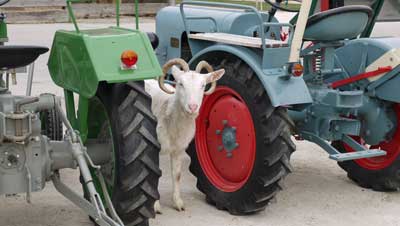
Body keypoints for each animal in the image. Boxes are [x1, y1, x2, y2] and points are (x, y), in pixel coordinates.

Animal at [145, 58, 225, 214]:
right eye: (180, 84)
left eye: (203, 85)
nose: (193, 107)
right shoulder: (154, 147)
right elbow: (154, 173)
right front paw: (155, 206)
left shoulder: (179, 149)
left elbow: (177, 175)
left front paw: (178, 203)